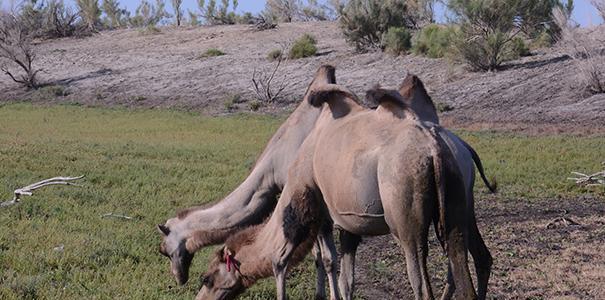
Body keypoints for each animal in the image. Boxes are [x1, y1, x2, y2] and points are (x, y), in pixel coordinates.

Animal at [197, 83, 476, 300]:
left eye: (207, 278)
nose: (200, 297)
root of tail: (433, 148)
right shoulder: (349, 224)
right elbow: (346, 279)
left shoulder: (315, 208)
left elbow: (306, 259)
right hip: (455, 203)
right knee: (463, 271)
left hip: (405, 218)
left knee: (420, 280)